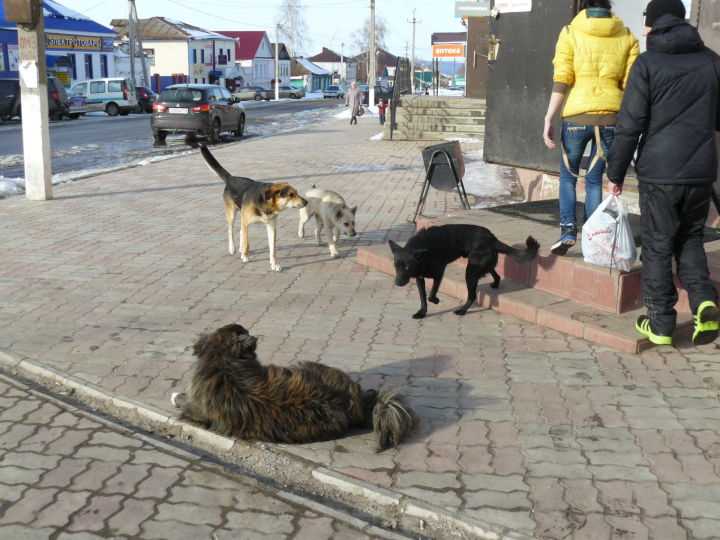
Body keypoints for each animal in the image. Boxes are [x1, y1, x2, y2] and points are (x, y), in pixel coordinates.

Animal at [388, 223, 540, 316]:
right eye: (396, 266)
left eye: (407, 266)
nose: (397, 283)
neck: (423, 250)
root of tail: (492, 238)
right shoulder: (420, 278)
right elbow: (423, 298)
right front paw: (422, 313)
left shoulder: (439, 273)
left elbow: (430, 295)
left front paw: (436, 300)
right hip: (480, 265)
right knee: (495, 274)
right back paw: (495, 284)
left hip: (470, 272)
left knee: (472, 295)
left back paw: (462, 311)